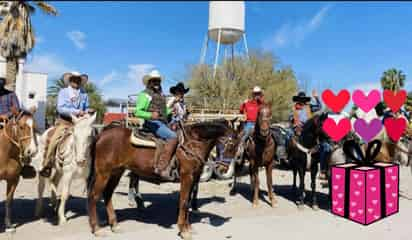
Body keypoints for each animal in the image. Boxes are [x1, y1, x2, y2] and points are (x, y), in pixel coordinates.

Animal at [87, 119, 241, 239]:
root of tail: (102, 134)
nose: (223, 169)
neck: (193, 143)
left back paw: (115, 225)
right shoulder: (187, 176)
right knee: (94, 196)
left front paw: (188, 227)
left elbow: (187, 202)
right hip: (103, 173)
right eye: (230, 144)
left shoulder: (194, 177)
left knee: (107, 194)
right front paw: (183, 231)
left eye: (237, 146)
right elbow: (184, 202)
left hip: (116, 172)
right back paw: (97, 229)